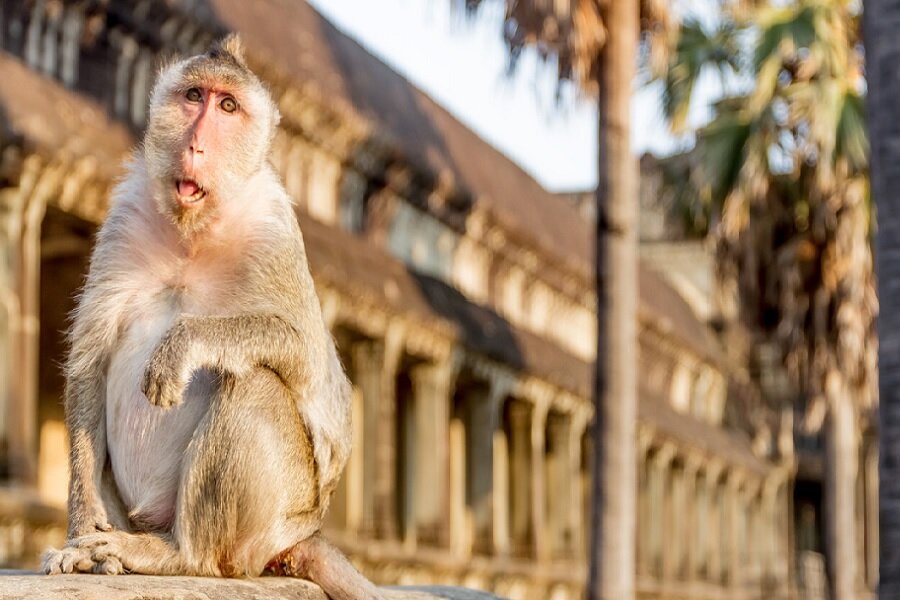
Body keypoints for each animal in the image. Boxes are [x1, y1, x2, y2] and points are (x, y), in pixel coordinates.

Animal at [41, 36, 384, 600]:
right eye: (193, 96)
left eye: (227, 107)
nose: (195, 144)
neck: (194, 231)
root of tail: (300, 534)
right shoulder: (123, 215)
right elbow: (89, 361)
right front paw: (80, 530)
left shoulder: (274, 229)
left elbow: (304, 353)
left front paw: (182, 344)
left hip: (276, 514)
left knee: (256, 385)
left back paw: (178, 554)